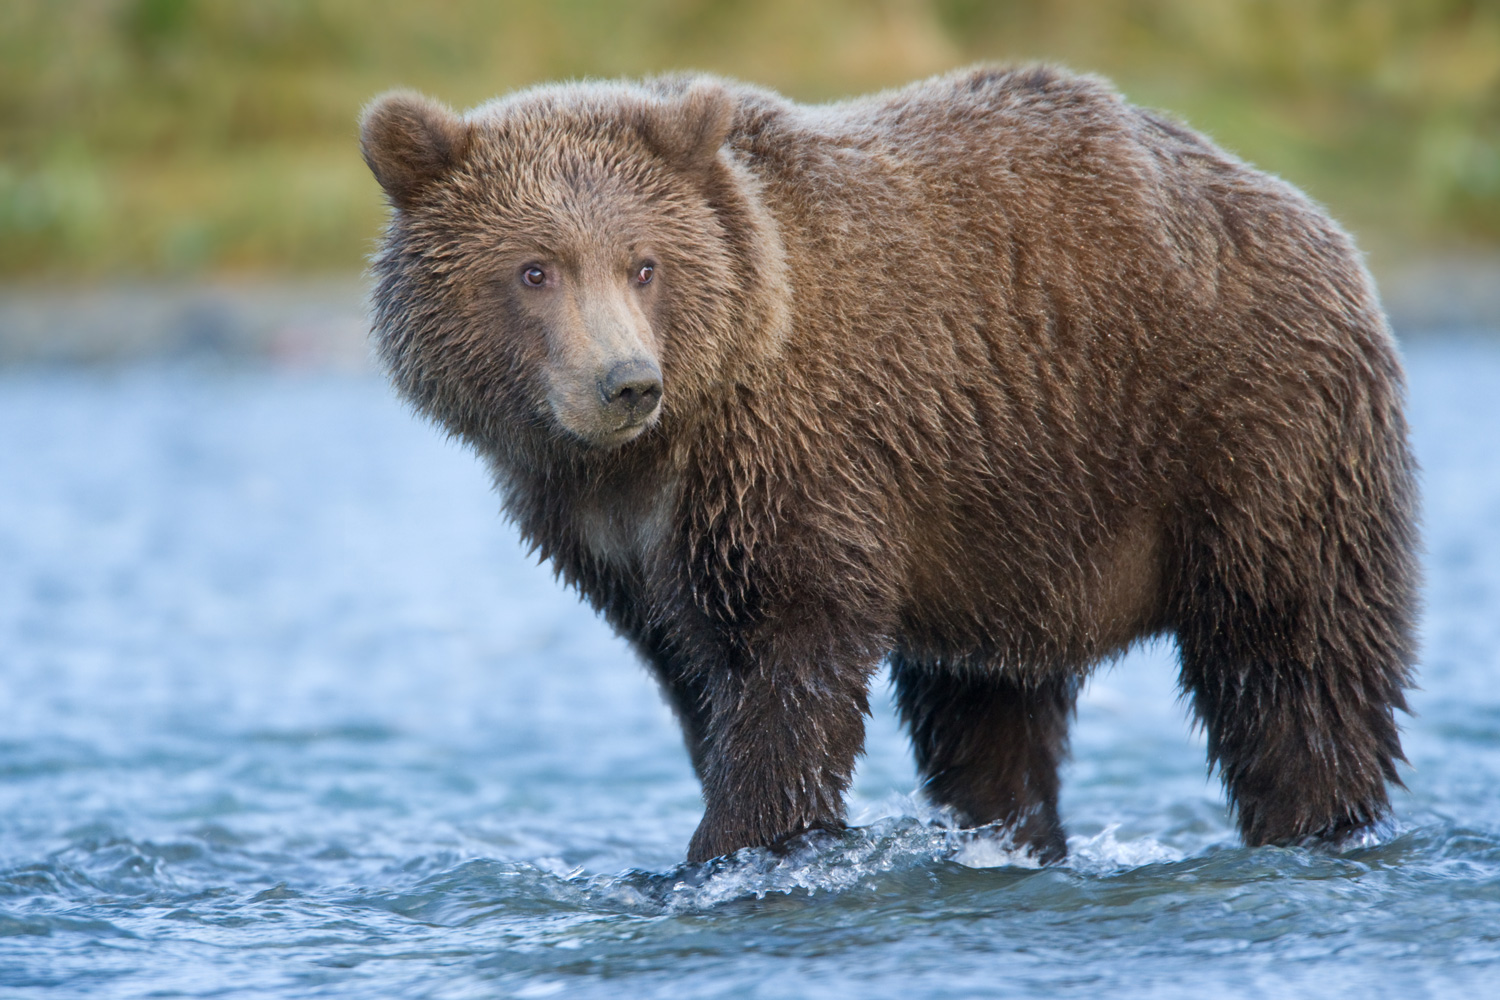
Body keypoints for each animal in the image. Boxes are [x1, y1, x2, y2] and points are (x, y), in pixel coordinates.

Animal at [360, 68, 1416, 869]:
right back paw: (1010, 837)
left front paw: (734, 847)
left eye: (644, 262)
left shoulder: (790, 464)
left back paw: (1319, 821)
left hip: (1245, 427)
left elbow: (788, 659)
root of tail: (1297, 204)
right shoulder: (614, 536)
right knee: (988, 706)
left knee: (1291, 654)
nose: (625, 383)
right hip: (1020, 519)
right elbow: (694, 673)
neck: (654, 451)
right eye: (534, 269)